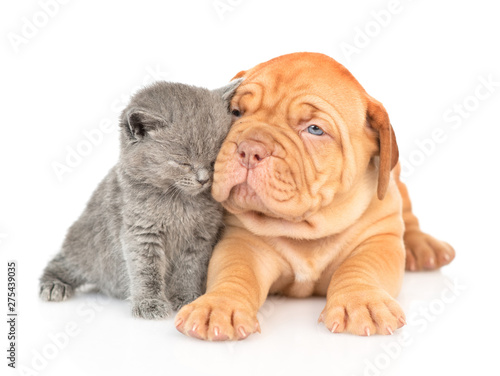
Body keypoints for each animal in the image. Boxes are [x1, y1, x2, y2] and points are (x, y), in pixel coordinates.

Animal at [39, 78, 242, 318]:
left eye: (214, 158)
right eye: (183, 162)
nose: (204, 179)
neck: (179, 201)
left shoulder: (200, 237)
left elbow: (190, 269)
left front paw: (186, 298)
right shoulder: (141, 232)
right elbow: (146, 270)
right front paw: (149, 303)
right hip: (85, 245)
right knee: (65, 261)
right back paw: (54, 285)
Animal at [174, 51, 456, 340]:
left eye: (315, 129)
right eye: (235, 112)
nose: (250, 149)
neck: (307, 228)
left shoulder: (379, 240)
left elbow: (361, 268)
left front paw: (362, 301)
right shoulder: (243, 242)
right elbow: (235, 271)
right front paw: (218, 305)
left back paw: (423, 246)